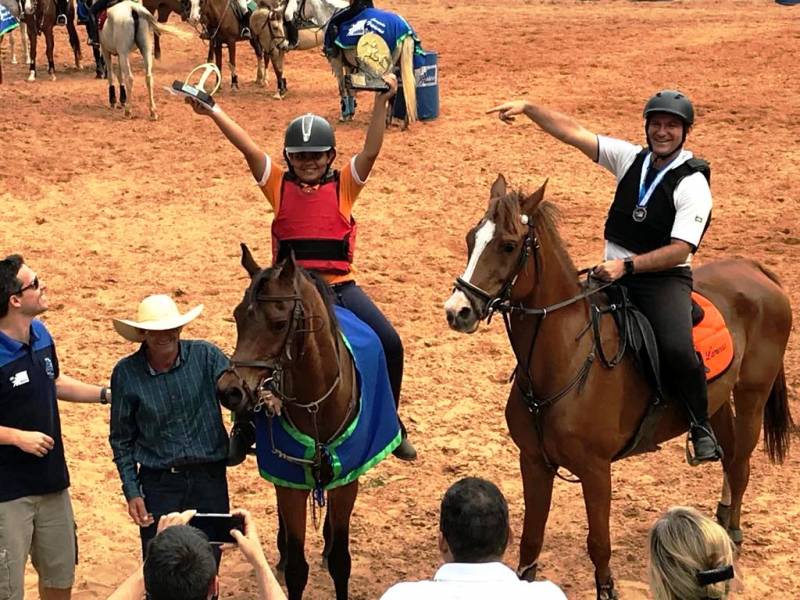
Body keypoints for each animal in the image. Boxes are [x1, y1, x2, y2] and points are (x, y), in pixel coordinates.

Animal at [216, 245, 362, 600]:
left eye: (279, 322)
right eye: (238, 316)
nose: (229, 391)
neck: (316, 405)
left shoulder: (347, 482)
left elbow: (341, 561)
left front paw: (332, 550)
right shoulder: (289, 483)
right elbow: (297, 568)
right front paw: (287, 558)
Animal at [443, 175, 794, 599]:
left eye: (509, 245)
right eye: (471, 238)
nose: (457, 311)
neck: (566, 361)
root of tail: (754, 269)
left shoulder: (596, 471)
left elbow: (599, 545)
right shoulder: (533, 461)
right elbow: (530, 541)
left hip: (752, 395)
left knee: (740, 465)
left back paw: (734, 533)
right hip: (717, 400)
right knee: (725, 454)